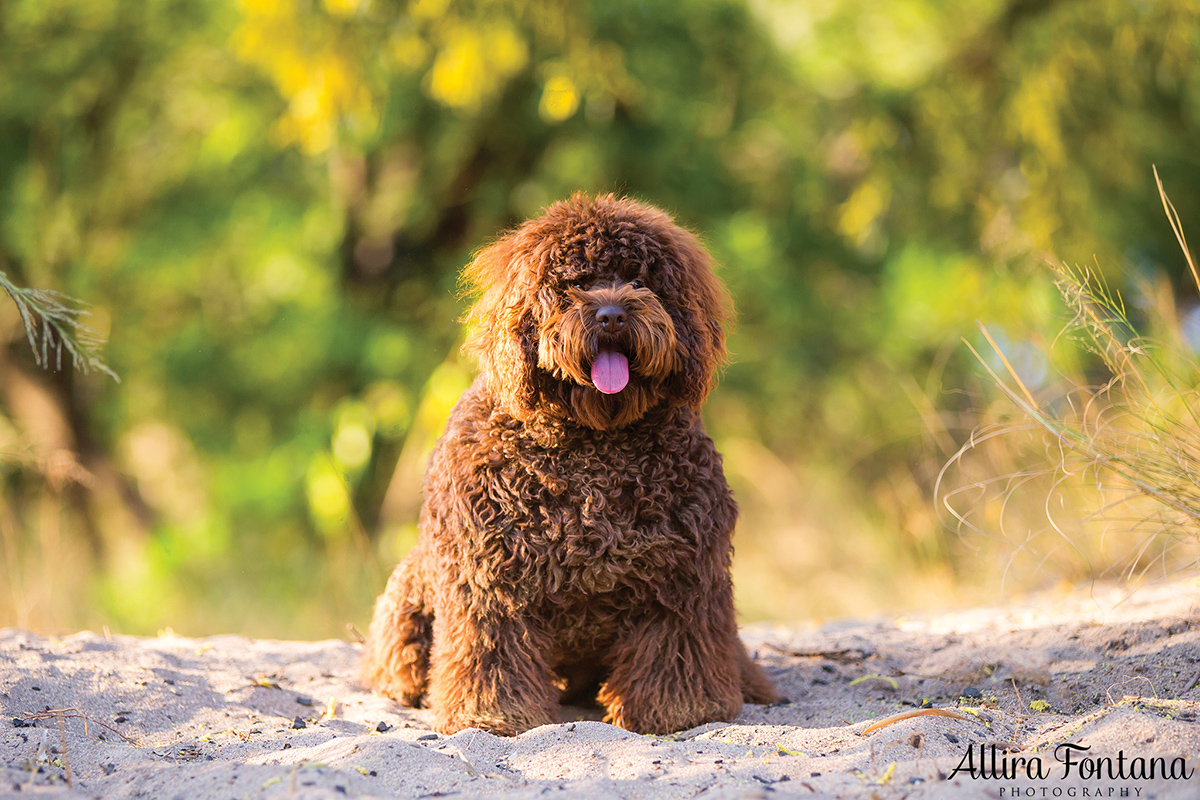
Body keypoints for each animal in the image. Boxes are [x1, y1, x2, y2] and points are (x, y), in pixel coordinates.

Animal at [360, 191, 782, 734]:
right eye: (575, 283)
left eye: (639, 280)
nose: (611, 315)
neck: (594, 443)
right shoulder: (488, 584)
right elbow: (490, 657)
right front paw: (494, 715)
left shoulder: (683, 580)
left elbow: (677, 653)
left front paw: (685, 712)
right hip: (410, 588)